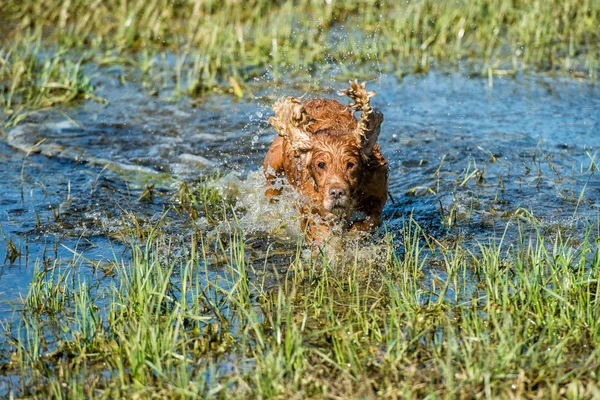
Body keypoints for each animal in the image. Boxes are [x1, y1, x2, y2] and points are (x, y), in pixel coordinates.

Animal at [264, 80, 390, 241]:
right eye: (321, 165)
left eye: (351, 164)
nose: (336, 193)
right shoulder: (311, 205)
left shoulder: (377, 192)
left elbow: (370, 221)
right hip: (272, 164)